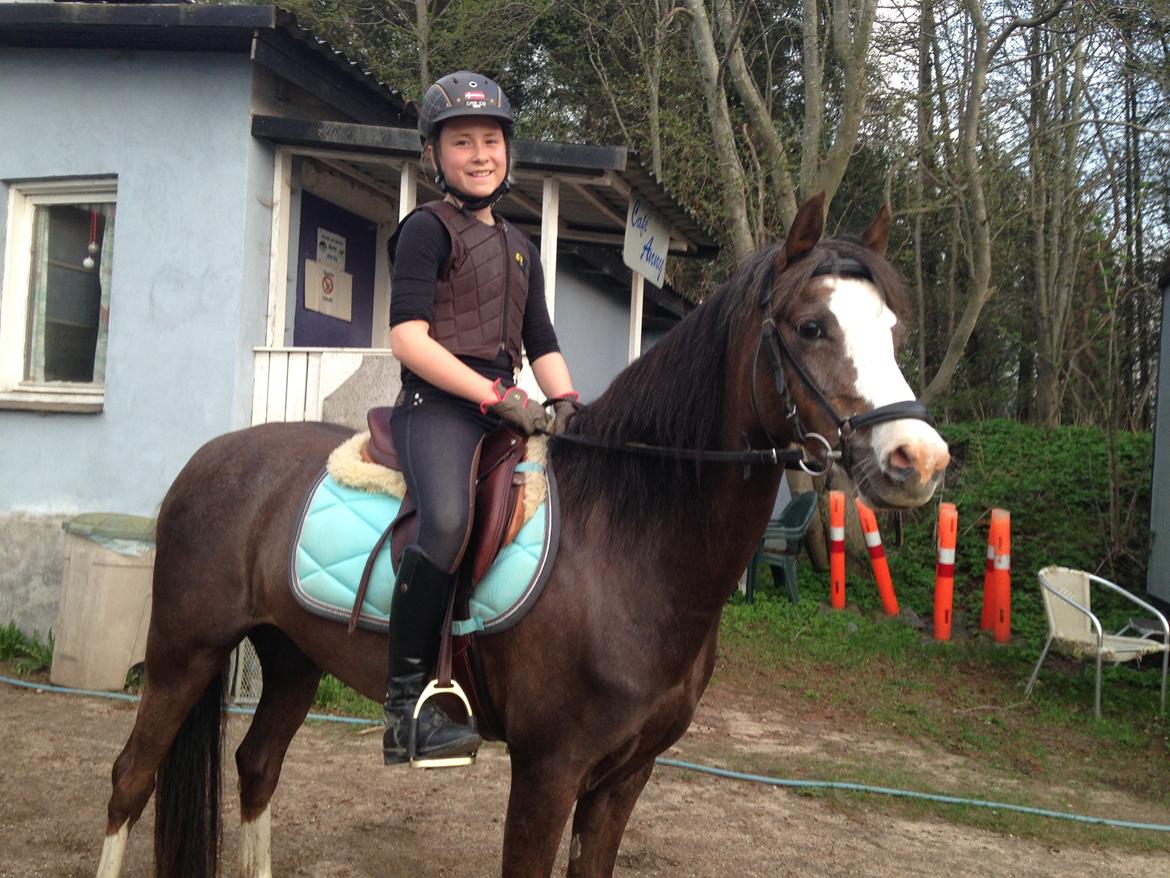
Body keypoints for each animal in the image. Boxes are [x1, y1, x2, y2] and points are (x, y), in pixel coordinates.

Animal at [95, 193, 949, 877]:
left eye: (893, 328)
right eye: (812, 325)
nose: (920, 458)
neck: (626, 544)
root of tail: (211, 456)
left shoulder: (623, 778)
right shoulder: (548, 772)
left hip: (293, 656)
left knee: (257, 767)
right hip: (184, 651)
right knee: (130, 779)